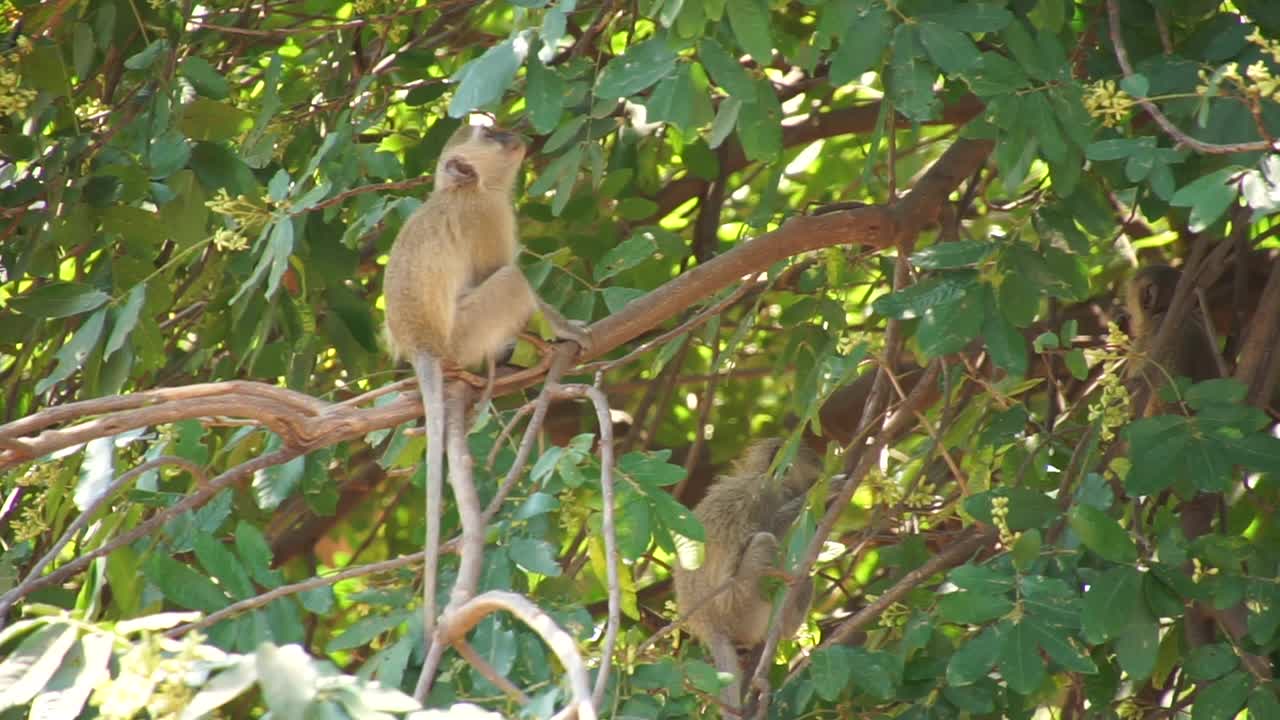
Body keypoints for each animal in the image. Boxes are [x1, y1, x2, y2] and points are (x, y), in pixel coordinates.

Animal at [381, 121, 591, 671]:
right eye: (491, 135)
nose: (518, 133)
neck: (464, 191)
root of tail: (425, 347)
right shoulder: (488, 219)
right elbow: (507, 276)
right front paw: (563, 328)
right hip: (467, 331)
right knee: (511, 280)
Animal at [670, 438, 819, 712]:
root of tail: (711, 627)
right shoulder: (766, 494)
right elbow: (773, 528)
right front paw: (822, 491)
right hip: (743, 607)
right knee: (764, 541)